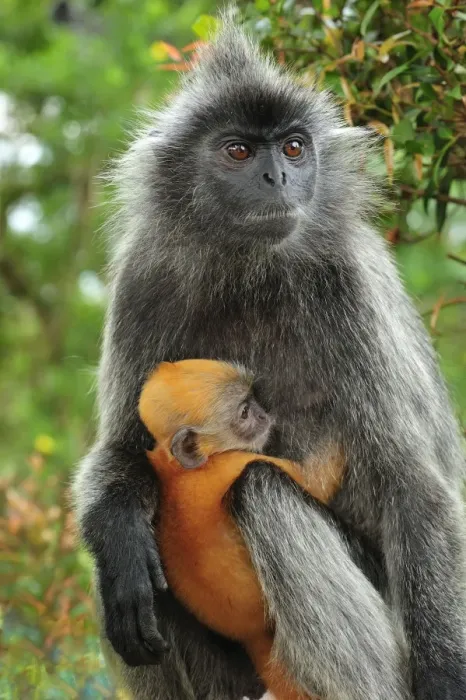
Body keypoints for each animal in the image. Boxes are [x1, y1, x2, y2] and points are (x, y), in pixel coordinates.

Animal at [73, 16, 466, 700]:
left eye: (292, 149)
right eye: (238, 151)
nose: (277, 179)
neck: (251, 272)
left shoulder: (346, 284)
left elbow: (414, 487)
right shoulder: (146, 277)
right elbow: (123, 452)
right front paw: (119, 531)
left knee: (261, 488)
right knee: (120, 560)